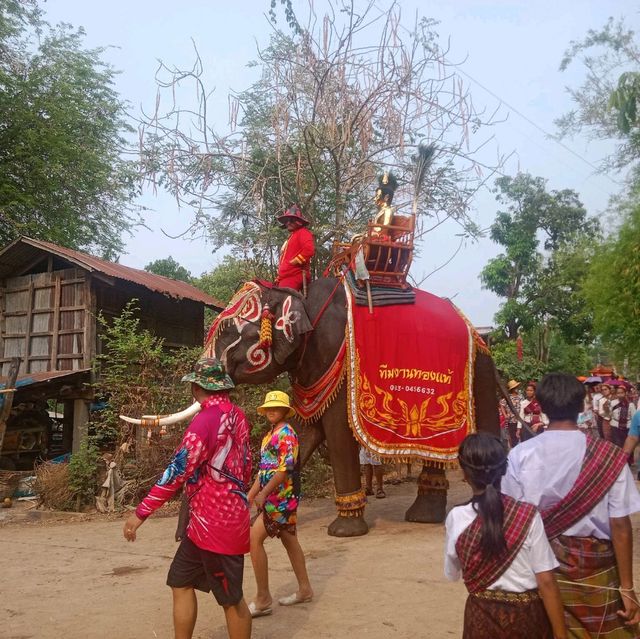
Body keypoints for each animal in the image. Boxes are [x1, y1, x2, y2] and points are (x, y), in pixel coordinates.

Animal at [208, 280, 502, 540]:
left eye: (232, 333)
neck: (301, 297)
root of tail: (474, 328)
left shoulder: (338, 359)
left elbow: (337, 432)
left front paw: (343, 531)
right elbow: (304, 434)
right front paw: (258, 518)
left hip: (479, 371)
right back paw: (423, 516)